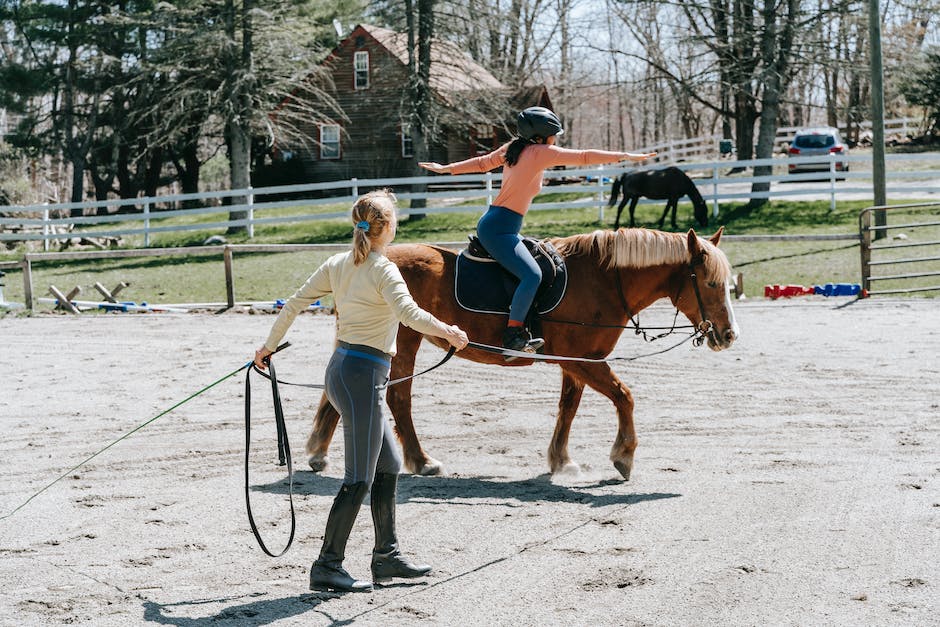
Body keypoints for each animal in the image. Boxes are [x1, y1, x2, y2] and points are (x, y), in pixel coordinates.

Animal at [304, 228, 740, 478]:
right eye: (711, 283)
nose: (728, 334)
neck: (599, 279)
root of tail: (362, 262)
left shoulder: (577, 364)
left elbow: (568, 407)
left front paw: (561, 460)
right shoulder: (585, 362)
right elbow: (624, 397)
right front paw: (624, 455)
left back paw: (320, 452)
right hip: (403, 342)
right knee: (397, 397)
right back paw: (421, 459)